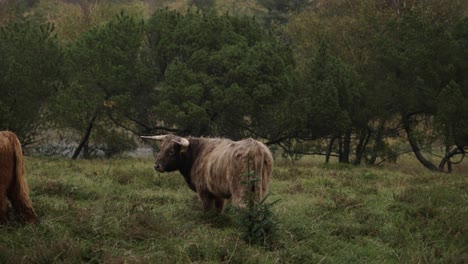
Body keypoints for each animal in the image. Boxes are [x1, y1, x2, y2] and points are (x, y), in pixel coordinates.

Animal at [143, 135, 274, 213]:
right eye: (160, 148)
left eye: (171, 151)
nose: (156, 166)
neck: (196, 154)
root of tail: (255, 147)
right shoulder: (218, 193)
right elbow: (218, 209)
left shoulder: (204, 191)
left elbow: (207, 209)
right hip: (260, 188)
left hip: (240, 188)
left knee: (241, 205)